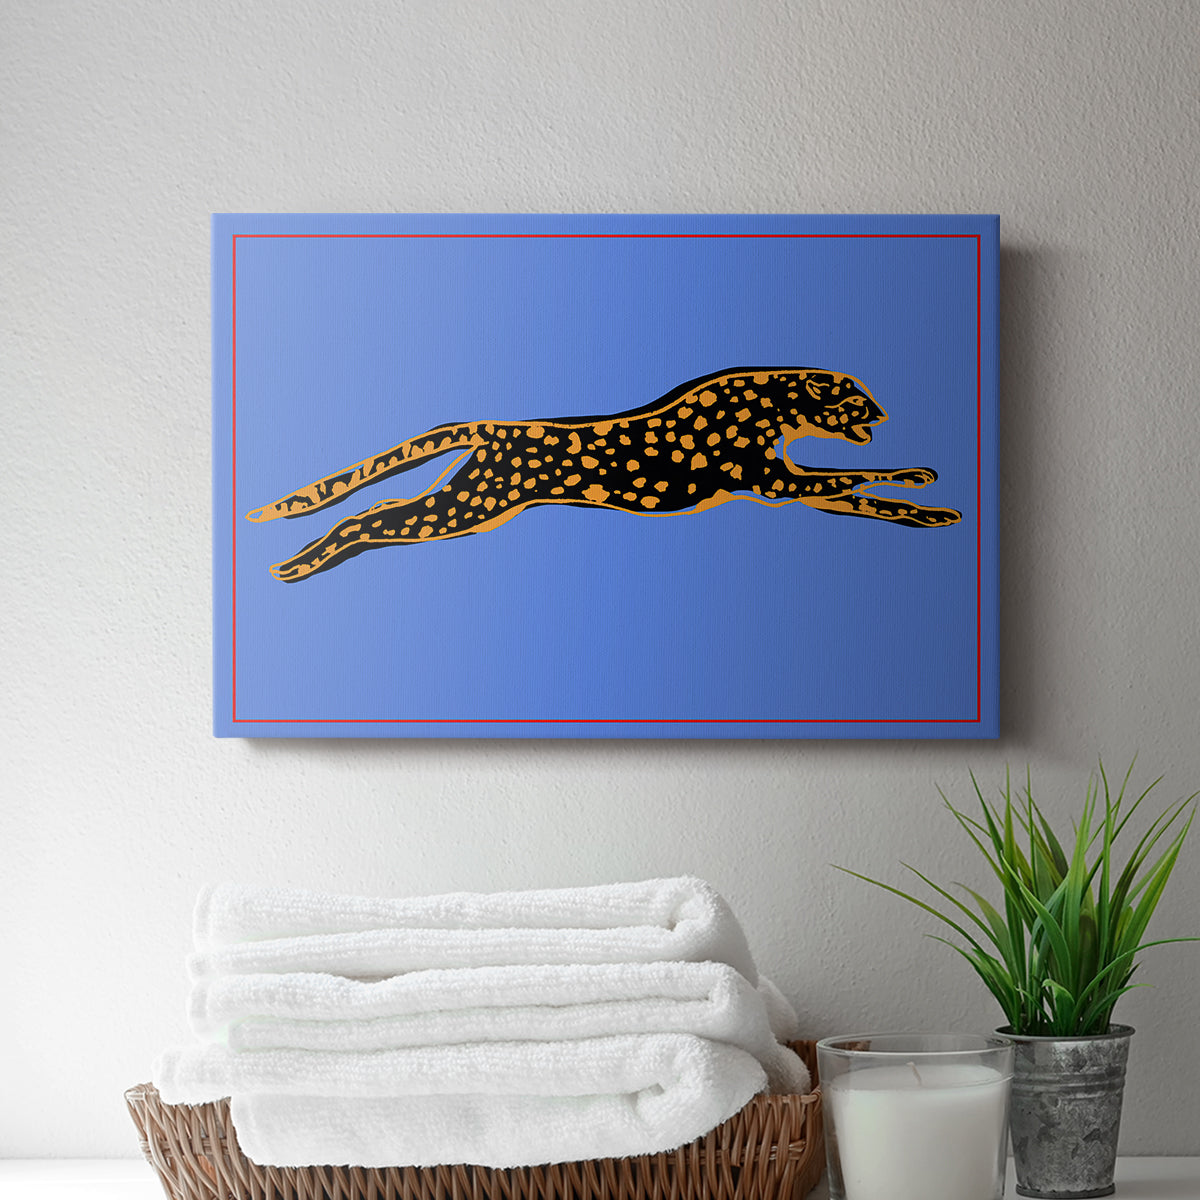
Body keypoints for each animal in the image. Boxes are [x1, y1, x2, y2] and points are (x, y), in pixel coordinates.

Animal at [246, 367, 962, 581]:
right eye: (855, 399)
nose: (883, 411)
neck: (767, 400)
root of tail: (491, 425)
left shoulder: (791, 488)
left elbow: (868, 495)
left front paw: (929, 501)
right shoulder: (777, 485)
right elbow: (852, 477)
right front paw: (919, 483)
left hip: (464, 502)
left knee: (373, 515)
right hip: (467, 508)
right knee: (366, 519)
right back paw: (301, 564)